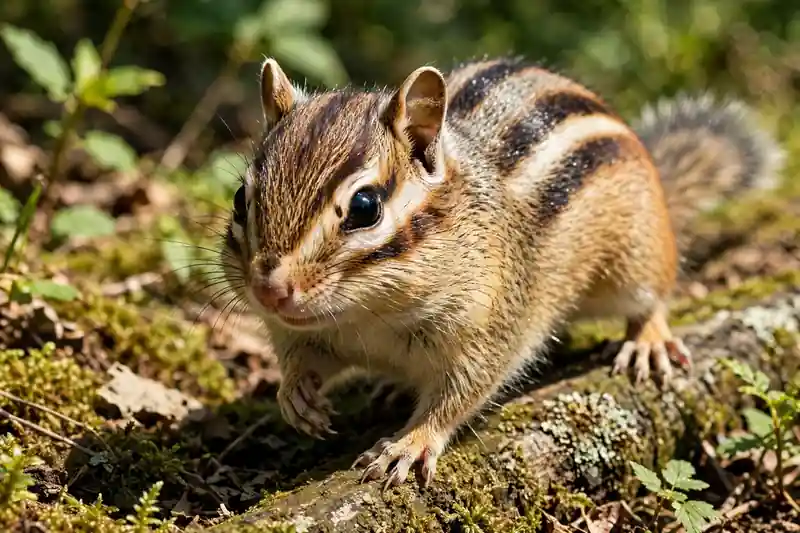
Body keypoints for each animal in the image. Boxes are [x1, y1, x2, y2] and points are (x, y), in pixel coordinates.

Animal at [220, 56, 784, 489]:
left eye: (365, 207)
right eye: (240, 198)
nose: (269, 290)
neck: (369, 316)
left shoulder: (490, 323)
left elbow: (461, 393)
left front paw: (410, 442)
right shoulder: (311, 332)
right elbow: (301, 357)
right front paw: (295, 394)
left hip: (634, 258)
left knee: (652, 297)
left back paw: (648, 340)